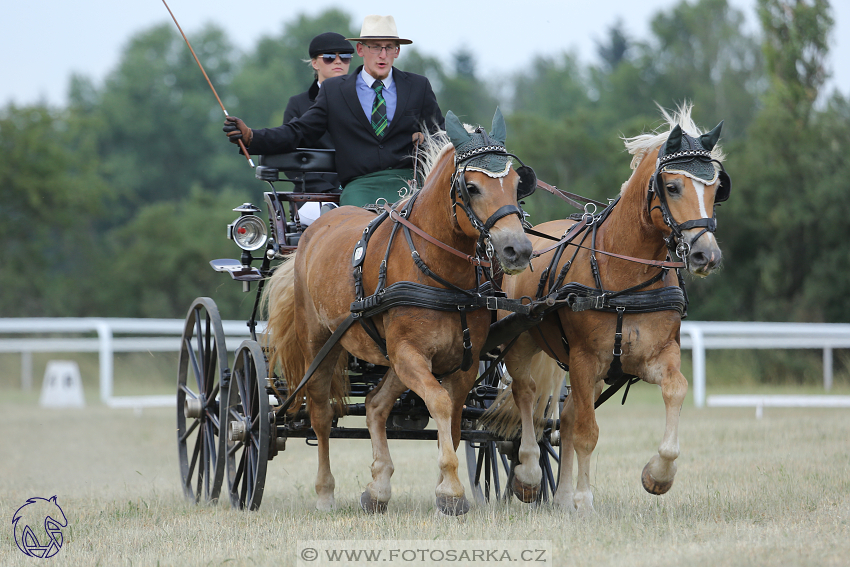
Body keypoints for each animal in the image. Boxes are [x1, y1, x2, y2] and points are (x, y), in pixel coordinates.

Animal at [262, 110, 532, 516]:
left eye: (517, 184)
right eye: (471, 187)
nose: (518, 249)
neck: (438, 270)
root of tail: (314, 230)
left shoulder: (462, 363)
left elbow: (454, 419)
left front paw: (443, 490)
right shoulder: (409, 354)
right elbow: (439, 403)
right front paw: (451, 490)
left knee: (375, 405)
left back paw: (378, 489)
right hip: (320, 343)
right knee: (321, 414)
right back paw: (325, 492)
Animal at [484, 104, 728, 512]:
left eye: (715, 189)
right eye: (673, 186)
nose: (705, 255)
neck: (623, 273)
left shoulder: (655, 355)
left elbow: (676, 389)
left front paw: (658, 474)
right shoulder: (584, 359)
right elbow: (586, 432)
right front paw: (584, 500)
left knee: (563, 417)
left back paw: (561, 496)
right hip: (521, 344)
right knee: (527, 396)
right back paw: (529, 475)